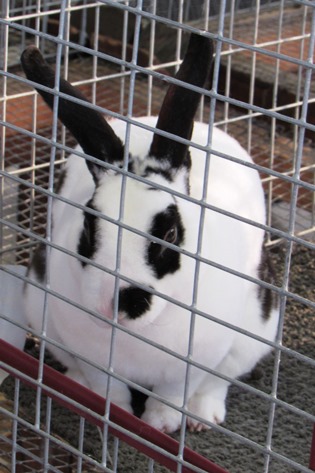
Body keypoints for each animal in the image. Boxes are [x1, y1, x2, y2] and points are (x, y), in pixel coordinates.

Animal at [21, 32, 280, 432]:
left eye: (170, 234)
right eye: (89, 224)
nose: (120, 301)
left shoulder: (194, 362)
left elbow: (173, 394)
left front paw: (160, 425)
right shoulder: (93, 356)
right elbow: (107, 386)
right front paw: (115, 415)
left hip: (256, 331)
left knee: (219, 382)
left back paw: (202, 417)